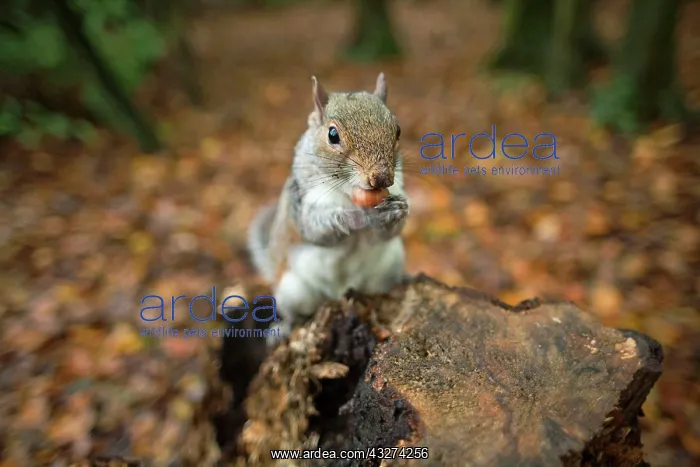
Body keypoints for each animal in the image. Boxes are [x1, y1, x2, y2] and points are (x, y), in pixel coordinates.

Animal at [247, 73, 409, 345]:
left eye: (397, 130)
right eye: (333, 134)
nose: (381, 178)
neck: (349, 194)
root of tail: (340, 293)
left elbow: (386, 232)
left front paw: (398, 211)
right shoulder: (303, 204)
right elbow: (317, 229)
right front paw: (360, 218)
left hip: (388, 267)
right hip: (292, 289)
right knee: (294, 311)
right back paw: (284, 328)